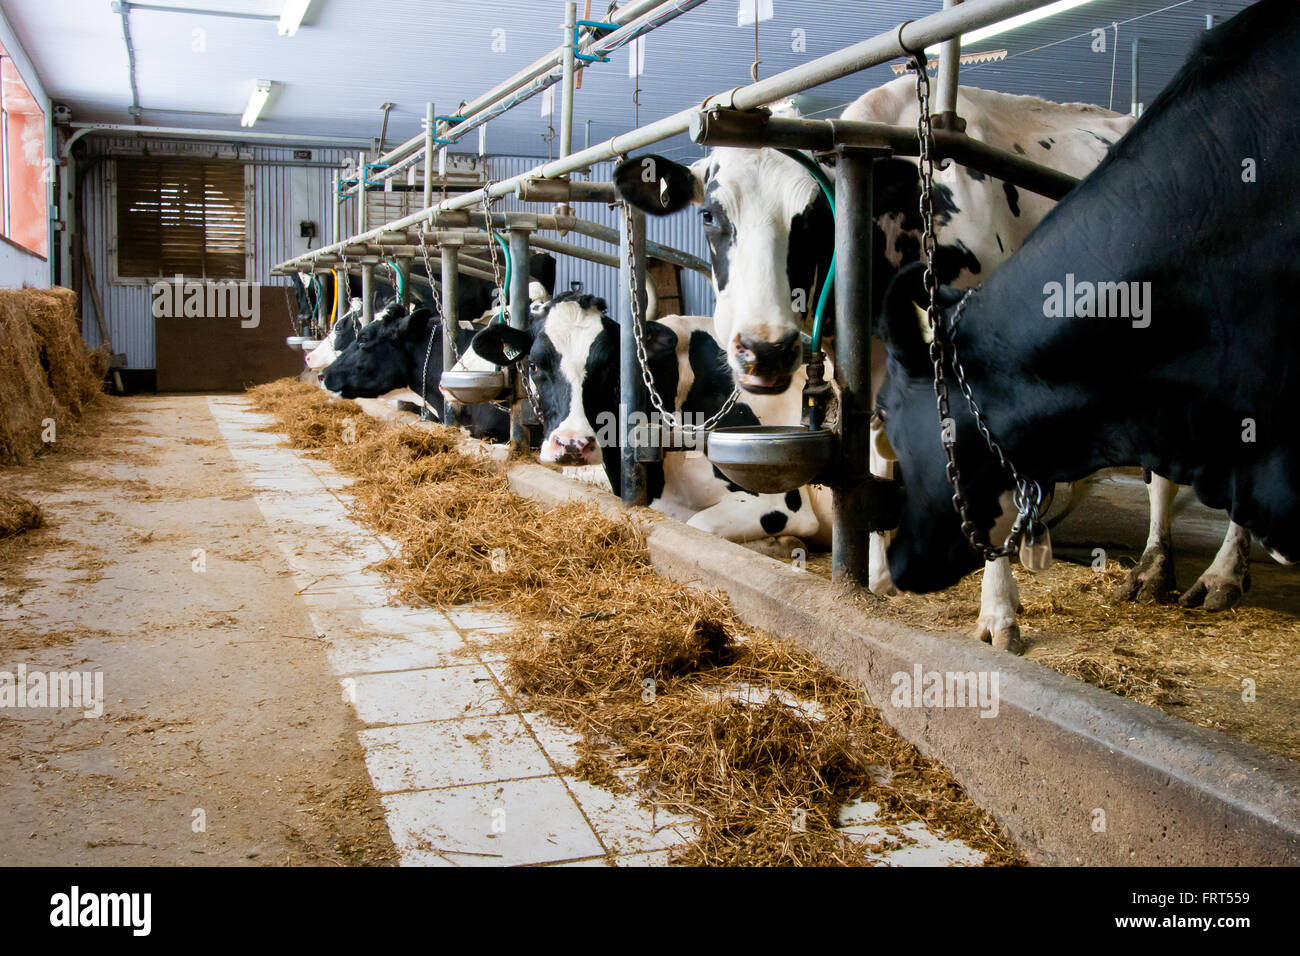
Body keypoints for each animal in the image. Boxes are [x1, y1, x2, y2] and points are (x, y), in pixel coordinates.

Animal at [467, 291, 821, 548]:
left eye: (611, 365)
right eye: (534, 365)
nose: (572, 444)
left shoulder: (784, 502)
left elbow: (701, 525)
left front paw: (783, 545)